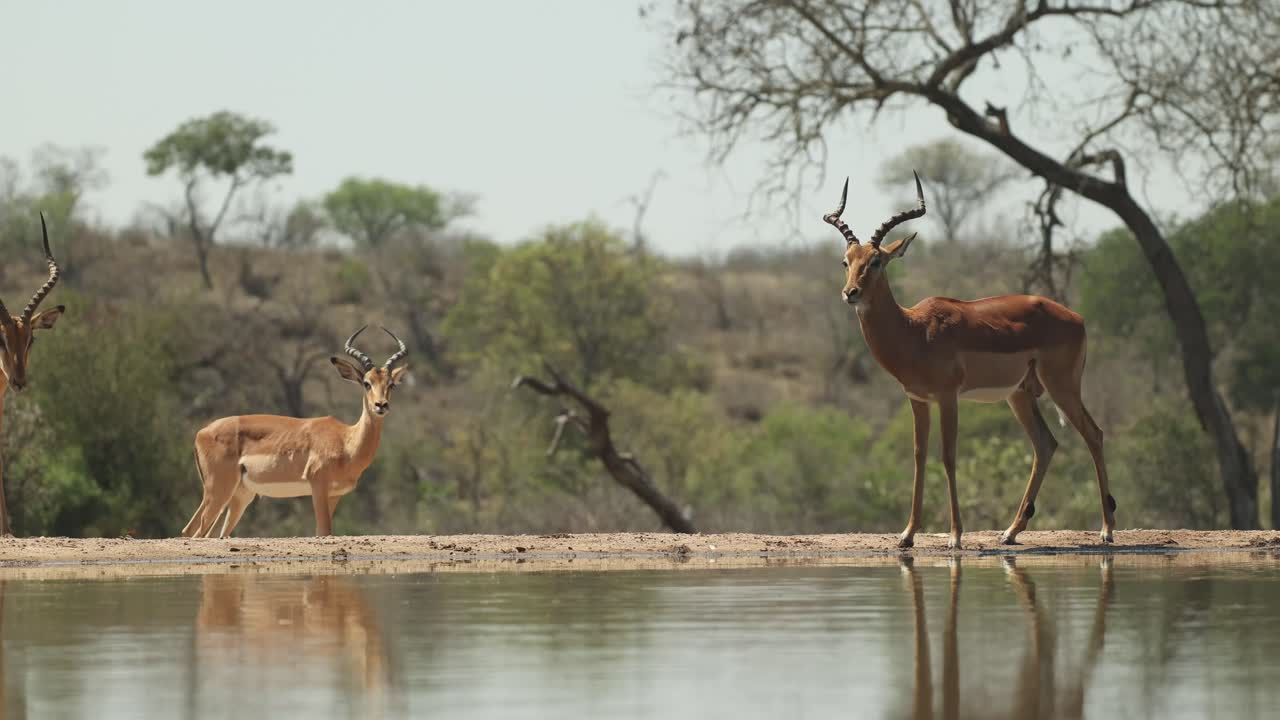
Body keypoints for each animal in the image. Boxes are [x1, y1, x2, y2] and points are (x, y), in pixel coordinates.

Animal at [181, 326, 408, 538]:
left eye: (391, 385)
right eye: (367, 383)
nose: (381, 405)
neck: (346, 442)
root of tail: (201, 433)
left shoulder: (334, 495)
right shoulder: (318, 487)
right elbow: (324, 531)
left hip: (239, 496)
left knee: (199, 532)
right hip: (218, 491)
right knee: (195, 532)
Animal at [827, 172, 1114, 549]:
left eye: (876, 261)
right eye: (846, 261)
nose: (851, 293)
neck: (914, 331)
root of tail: (1077, 318)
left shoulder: (949, 398)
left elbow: (948, 457)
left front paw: (955, 536)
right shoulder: (918, 399)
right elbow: (919, 456)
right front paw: (907, 535)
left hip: (1061, 387)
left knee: (1094, 435)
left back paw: (1107, 530)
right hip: (1020, 395)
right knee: (1046, 444)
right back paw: (1010, 531)